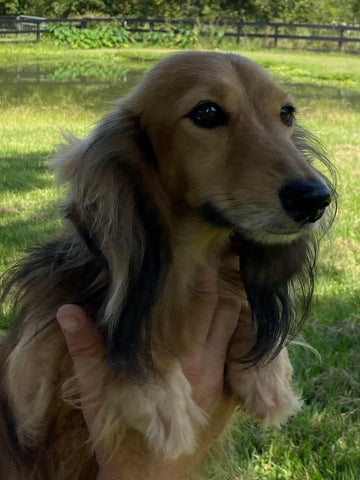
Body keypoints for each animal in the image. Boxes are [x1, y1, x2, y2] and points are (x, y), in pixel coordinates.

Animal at [1, 50, 336, 478]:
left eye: (286, 114)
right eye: (207, 112)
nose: (315, 199)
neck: (191, 261)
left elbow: (240, 294)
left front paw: (268, 376)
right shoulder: (28, 385)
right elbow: (113, 319)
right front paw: (159, 396)